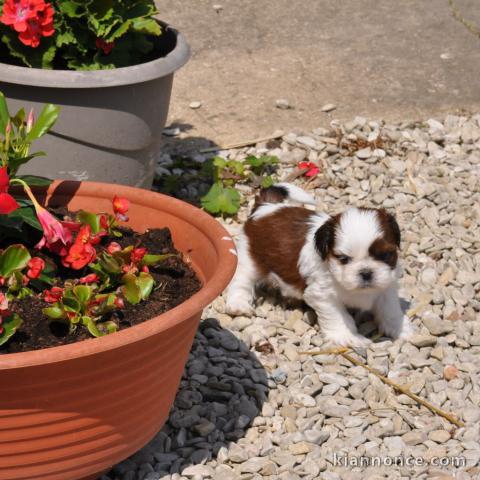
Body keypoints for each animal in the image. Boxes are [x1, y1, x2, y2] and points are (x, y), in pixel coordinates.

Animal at [226, 183, 412, 344]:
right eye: (343, 259)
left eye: (385, 255)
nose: (366, 272)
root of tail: (265, 207)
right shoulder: (322, 295)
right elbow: (338, 316)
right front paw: (346, 336)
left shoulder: (387, 286)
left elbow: (390, 309)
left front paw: (400, 329)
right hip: (250, 257)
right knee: (241, 279)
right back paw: (238, 304)